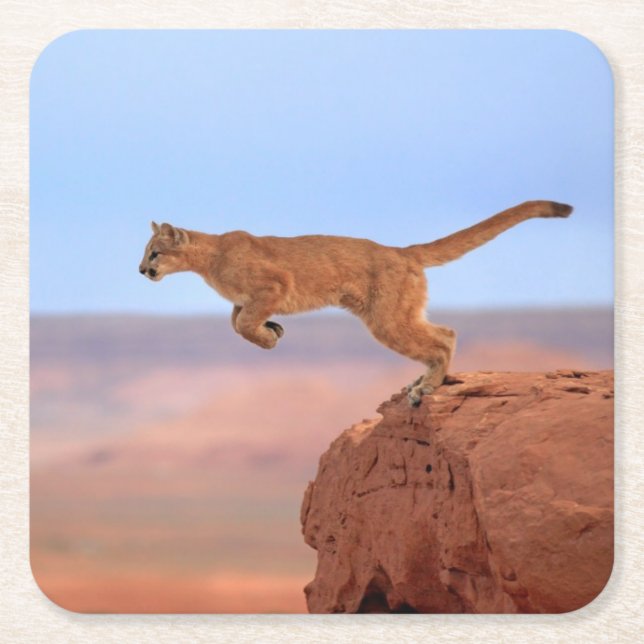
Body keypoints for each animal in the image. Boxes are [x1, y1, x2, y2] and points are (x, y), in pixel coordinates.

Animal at [139, 200, 572, 405]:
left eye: (155, 252)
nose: (141, 270)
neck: (209, 258)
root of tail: (401, 250)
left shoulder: (275, 284)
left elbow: (244, 324)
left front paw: (269, 337)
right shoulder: (246, 299)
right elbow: (236, 321)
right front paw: (274, 328)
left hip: (386, 319)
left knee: (443, 338)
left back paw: (426, 388)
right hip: (399, 312)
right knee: (445, 330)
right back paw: (422, 381)